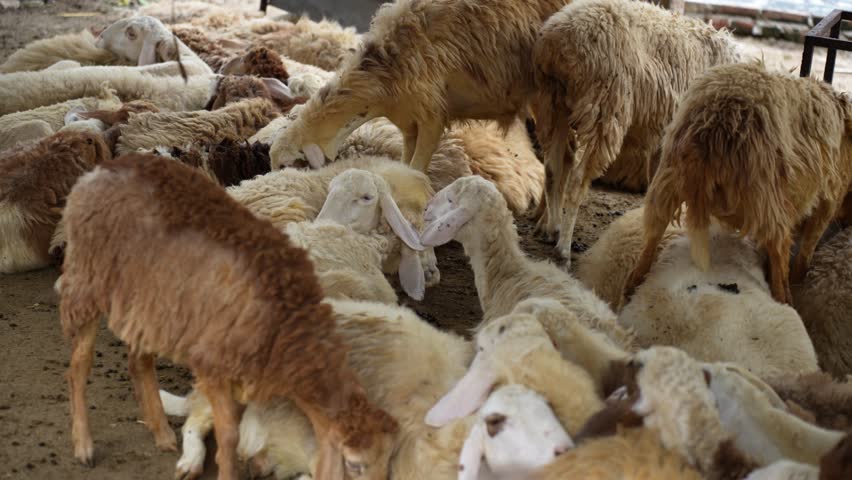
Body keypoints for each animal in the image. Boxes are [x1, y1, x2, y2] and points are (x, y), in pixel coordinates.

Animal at [58, 153, 398, 480]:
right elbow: (229, 436)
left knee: (138, 361)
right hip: (87, 280)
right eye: (354, 465)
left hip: (150, 301)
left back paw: (162, 433)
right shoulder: (215, 365)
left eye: (389, 462)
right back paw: (84, 446)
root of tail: (102, 168)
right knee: (78, 365)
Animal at [531, 0, 740, 261]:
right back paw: (564, 249)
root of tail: (559, 37)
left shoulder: (665, 136)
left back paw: (553, 228)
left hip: (550, 101)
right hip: (605, 106)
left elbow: (654, 185)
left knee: (552, 169)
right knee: (577, 180)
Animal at [625, 62, 852, 305]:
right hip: (768, 201)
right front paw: (799, 278)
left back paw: (631, 287)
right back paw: (785, 299)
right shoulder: (831, 194)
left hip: (665, 184)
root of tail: (714, 125)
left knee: (650, 240)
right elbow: (809, 243)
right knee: (779, 251)